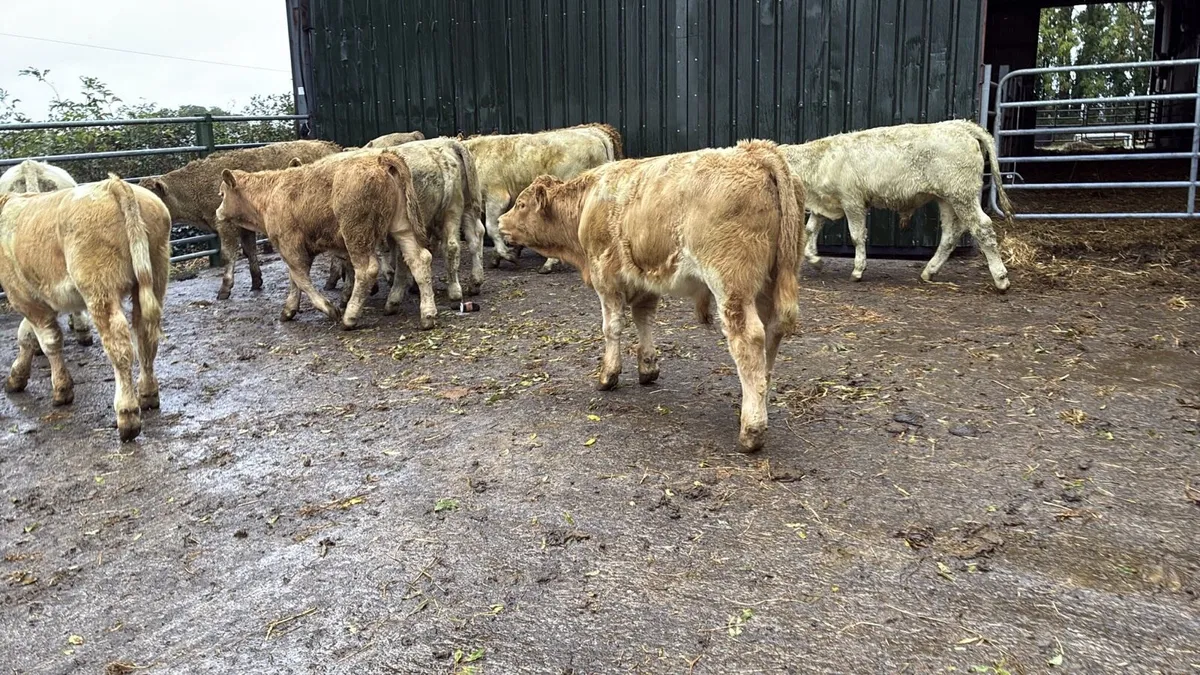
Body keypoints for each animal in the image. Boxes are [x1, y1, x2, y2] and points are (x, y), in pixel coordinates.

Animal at [140, 140, 341, 300]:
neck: (197, 186)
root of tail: (332, 146)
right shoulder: (245, 226)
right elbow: (249, 250)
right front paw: (256, 280)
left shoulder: (226, 225)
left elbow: (228, 254)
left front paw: (224, 288)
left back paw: (332, 279)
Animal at [215, 149, 435, 330]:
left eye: (222, 193)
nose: (218, 212)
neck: (271, 194)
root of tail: (380, 160)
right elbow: (294, 280)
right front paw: (289, 309)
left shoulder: (290, 247)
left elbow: (301, 278)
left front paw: (329, 309)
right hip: (402, 228)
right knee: (419, 259)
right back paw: (427, 315)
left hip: (356, 236)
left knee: (367, 270)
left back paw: (350, 317)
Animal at [464, 122, 623, 273]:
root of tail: (595, 134)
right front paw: (498, 256)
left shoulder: (497, 198)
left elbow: (492, 227)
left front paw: (508, 255)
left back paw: (549, 263)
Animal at [497, 140, 803, 453]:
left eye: (521, 204)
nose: (499, 221)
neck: (588, 203)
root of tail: (756, 151)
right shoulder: (643, 280)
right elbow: (643, 319)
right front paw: (647, 368)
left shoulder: (605, 277)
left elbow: (611, 328)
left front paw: (608, 375)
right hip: (769, 285)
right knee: (771, 336)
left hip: (732, 286)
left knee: (749, 340)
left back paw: (751, 429)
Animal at [780, 120, 1014, 291]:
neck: (821, 160)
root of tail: (961, 125)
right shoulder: (825, 203)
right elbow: (809, 230)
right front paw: (815, 260)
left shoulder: (852, 201)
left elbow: (856, 236)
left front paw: (858, 270)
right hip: (947, 200)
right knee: (950, 234)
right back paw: (929, 271)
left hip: (962, 195)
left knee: (982, 228)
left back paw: (1001, 279)